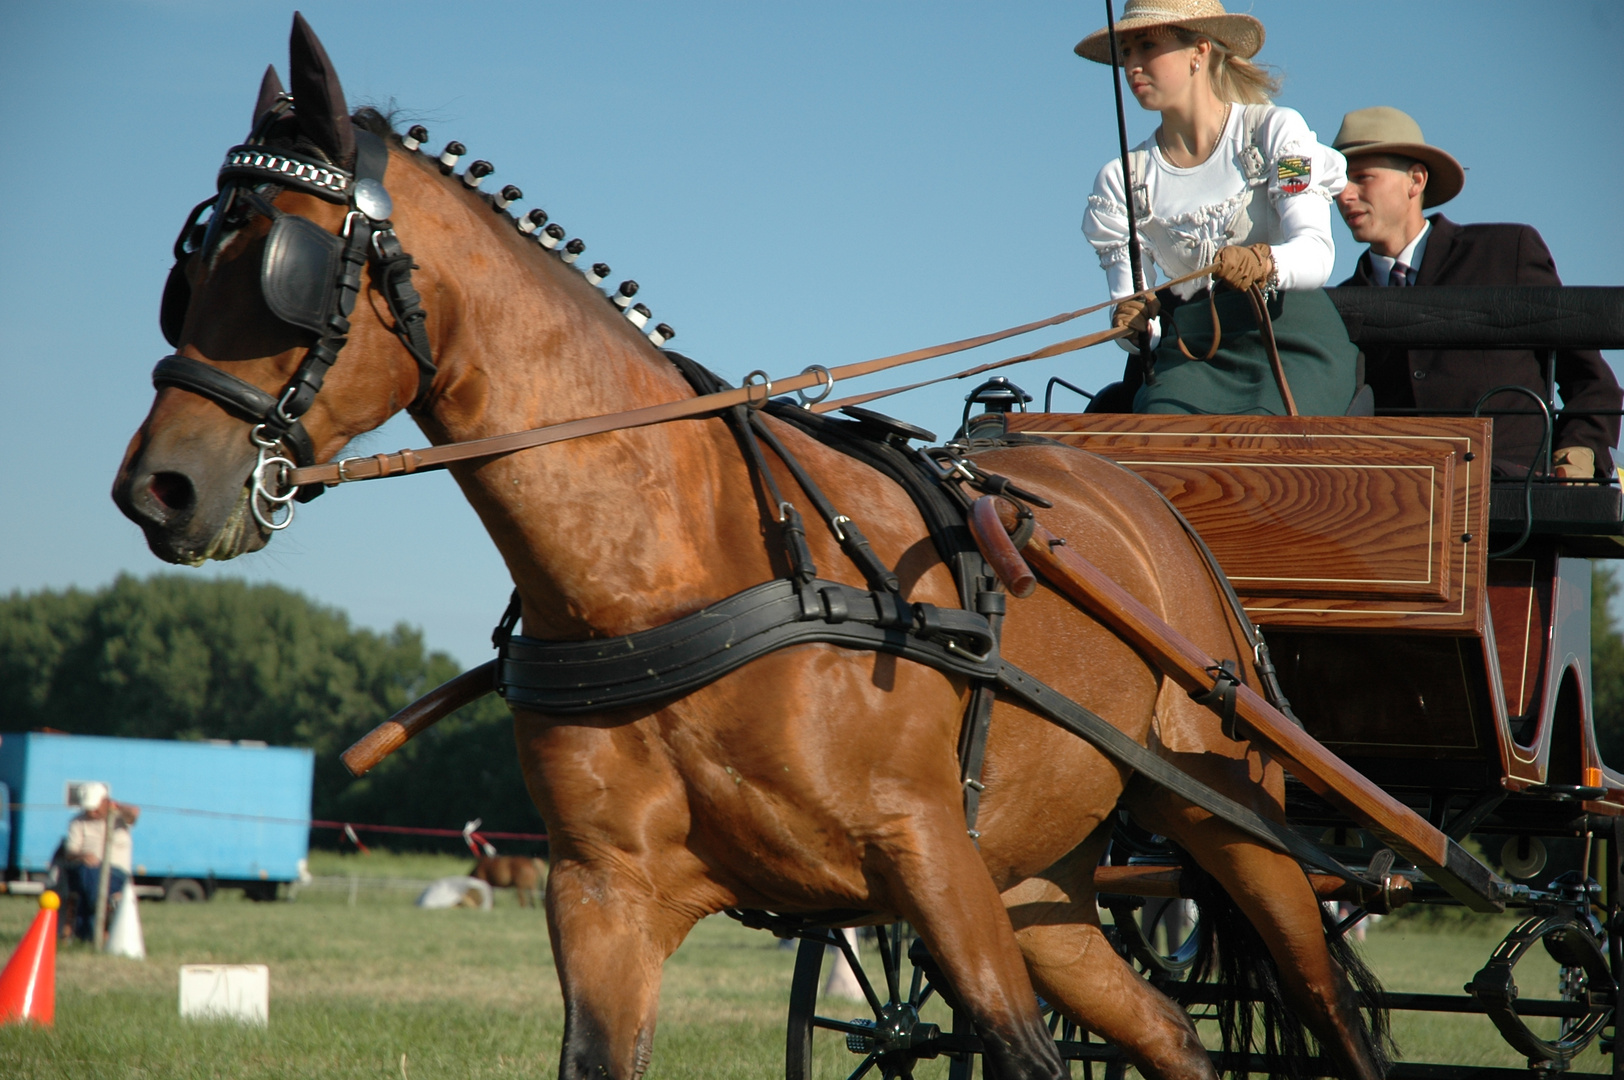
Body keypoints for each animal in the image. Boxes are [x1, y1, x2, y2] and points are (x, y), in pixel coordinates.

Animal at [114, 16, 1383, 1078]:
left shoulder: (932, 857)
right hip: (1046, 884)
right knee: (1172, 1037)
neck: (673, 572)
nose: (156, 490)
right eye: (186, 268)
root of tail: (1151, 506)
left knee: (1333, 1013)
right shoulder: (605, 899)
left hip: (1227, 821)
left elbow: (1022, 1052)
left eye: (276, 265)